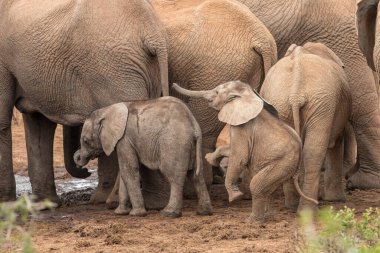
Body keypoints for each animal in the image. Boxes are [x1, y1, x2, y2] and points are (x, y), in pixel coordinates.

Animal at [0, 0, 168, 204]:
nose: (86, 170)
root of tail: (152, 34)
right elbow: (39, 124)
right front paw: (43, 204)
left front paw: (6, 203)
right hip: (140, 71)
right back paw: (154, 202)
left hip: (114, 69)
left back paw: (115, 201)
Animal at [72, 97, 212, 217]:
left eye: (85, 141)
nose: (80, 163)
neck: (107, 110)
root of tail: (194, 125)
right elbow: (124, 173)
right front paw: (120, 213)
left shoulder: (124, 139)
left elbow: (129, 170)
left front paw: (136, 214)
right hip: (190, 145)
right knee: (196, 175)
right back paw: (204, 212)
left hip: (174, 142)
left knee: (174, 176)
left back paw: (169, 213)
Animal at [172, 81, 318, 223]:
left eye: (217, 92)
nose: (173, 85)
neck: (247, 96)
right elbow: (230, 149)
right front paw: (209, 158)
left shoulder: (242, 127)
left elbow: (239, 156)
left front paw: (235, 197)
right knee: (268, 189)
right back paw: (268, 217)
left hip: (283, 163)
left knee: (257, 185)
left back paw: (253, 221)